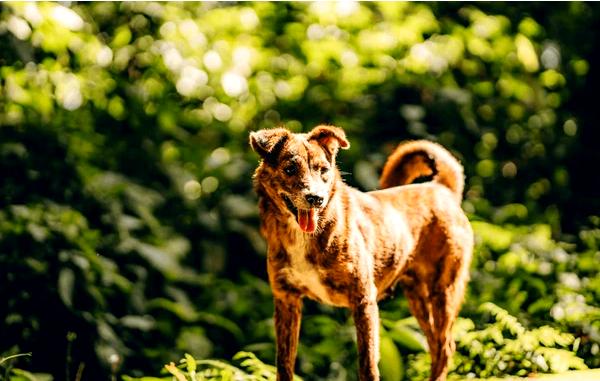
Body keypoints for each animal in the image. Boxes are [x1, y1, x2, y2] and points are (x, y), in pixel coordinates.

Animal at [248, 125, 474, 380]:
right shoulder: (286, 300)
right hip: (418, 297)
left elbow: (367, 364)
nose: (316, 199)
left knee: (445, 347)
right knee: (436, 345)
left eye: (323, 170)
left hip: (443, 292)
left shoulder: (364, 300)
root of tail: (441, 189)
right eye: (290, 169)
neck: (307, 235)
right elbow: (284, 365)